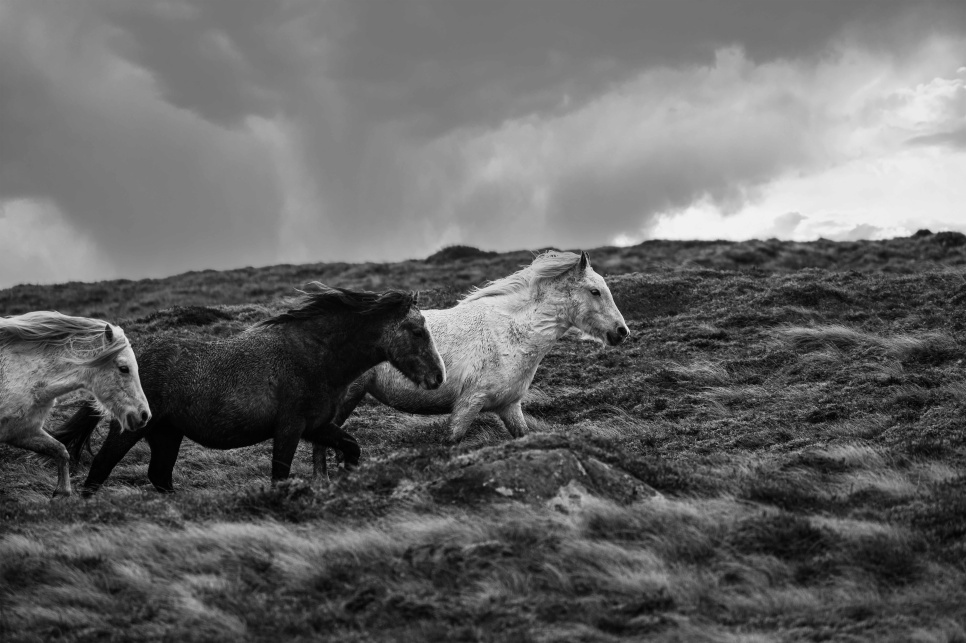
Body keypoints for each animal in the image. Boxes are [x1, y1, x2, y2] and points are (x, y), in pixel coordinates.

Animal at [0, 312, 151, 498]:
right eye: (124, 368)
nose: (144, 415)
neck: (21, 374)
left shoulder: (22, 431)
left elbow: (61, 451)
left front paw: (61, 493)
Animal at [53, 284, 446, 498]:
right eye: (416, 330)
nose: (438, 377)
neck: (315, 355)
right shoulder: (289, 428)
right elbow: (280, 475)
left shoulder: (318, 426)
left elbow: (351, 445)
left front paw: (348, 475)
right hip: (132, 430)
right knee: (100, 469)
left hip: (167, 434)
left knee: (159, 476)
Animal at [336, 250, 632, 442]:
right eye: (595, 291)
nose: (622, 332)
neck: (513, 335)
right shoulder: (469, 403)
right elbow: (451, 442)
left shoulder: (509, 407)